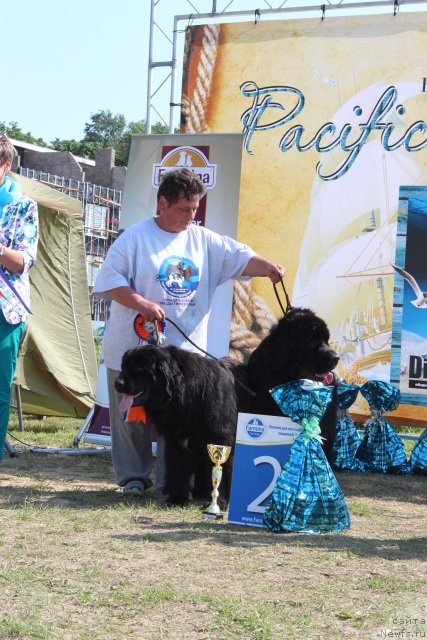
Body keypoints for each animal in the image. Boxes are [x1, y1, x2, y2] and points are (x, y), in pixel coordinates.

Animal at [115, 308, 340, 508]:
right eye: (125, 367)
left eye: (139, 370)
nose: (118, 383)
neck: (187, 395)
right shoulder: (177, 440)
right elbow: (179, 468)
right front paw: (177, 498)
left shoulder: (221, 437)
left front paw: (220, 502)